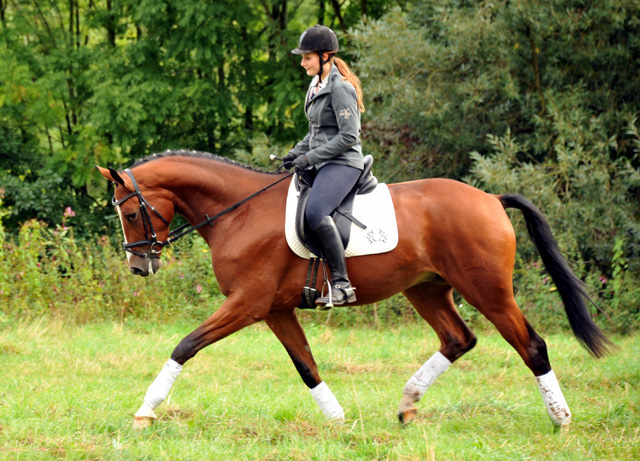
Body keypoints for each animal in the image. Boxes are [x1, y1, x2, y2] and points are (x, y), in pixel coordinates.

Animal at [95, 151, 608, 432]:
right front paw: (338, 420)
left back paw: (561, 419)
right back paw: (407, 405)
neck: (238, 212)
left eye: (132, 213)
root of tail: (489, 199)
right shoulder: (275, 310)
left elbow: (185, 346)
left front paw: (145, 412)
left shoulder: (247, 304)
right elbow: (307, 367)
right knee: (458, 339)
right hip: (427, 290)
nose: (139, 265)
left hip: (489, 291)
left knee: (531, 345)